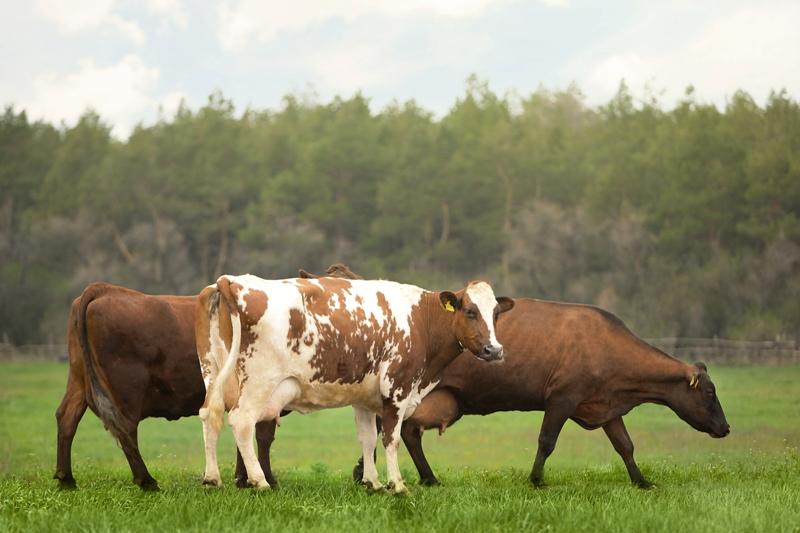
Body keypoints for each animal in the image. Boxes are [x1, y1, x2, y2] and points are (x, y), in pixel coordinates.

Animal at [55, 282, 276, 490]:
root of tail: (104, 289)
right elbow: (263, 435)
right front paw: (266, 479)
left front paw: (243, 478)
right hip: (127, 389)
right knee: (125, 428)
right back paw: (146, 480)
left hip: (78, 380)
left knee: (67, 418)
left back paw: (66, 479)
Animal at [194, 276, 512, 492]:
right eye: (470, 311)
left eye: (496, 313)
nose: (495, 350)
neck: (420, 320)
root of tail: (231, 281)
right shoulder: (397, 389)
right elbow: (391, 438)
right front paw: (397, 485)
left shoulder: (364, 398)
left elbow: (368, 438)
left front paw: (372, 483)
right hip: (259, 382)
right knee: (242, 422)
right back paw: (260, 481)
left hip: (215, 373)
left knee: (210, 416)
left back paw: (212, 478)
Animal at [296, 264, 728, 486]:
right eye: (709, 393)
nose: (725, 428)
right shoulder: (562, 397)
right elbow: (547, 441)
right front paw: (536, 480)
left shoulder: (603, 404)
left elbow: (625, 446)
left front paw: (641, 481)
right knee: (401, 431)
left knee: (403, 433)